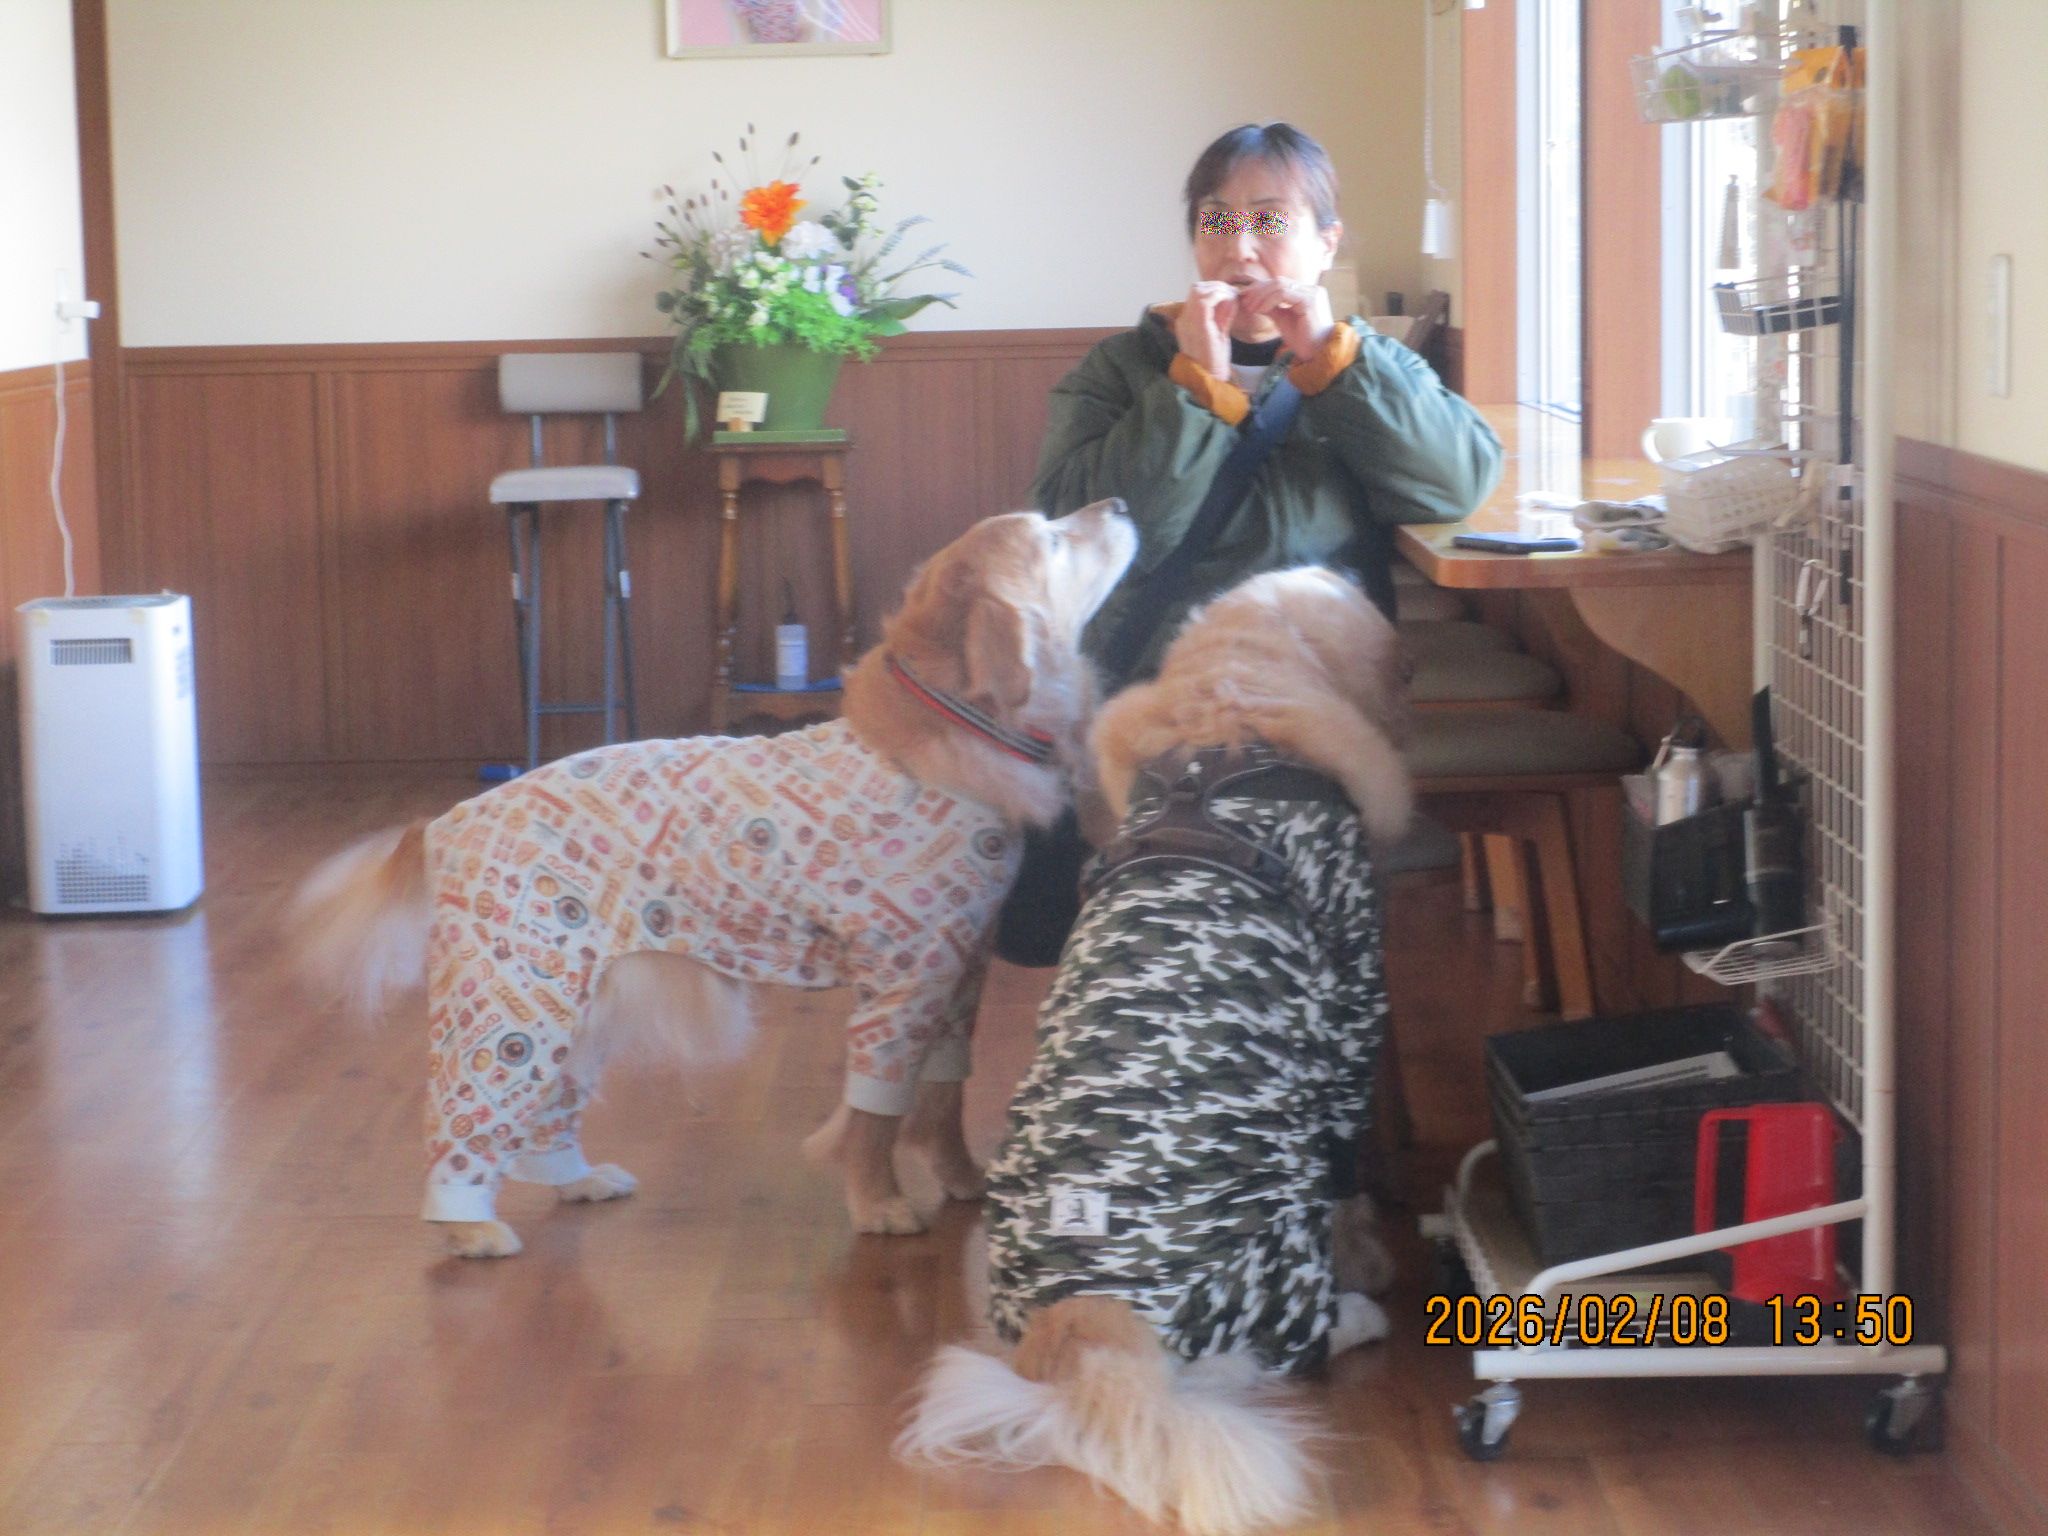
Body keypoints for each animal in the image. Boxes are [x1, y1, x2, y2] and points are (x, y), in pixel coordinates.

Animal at [291, 502, 1137, 1256]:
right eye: (1053, 538)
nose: (1123, 502)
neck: (948, 731)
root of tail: (447, 821)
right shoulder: (901, 987)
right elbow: (874, 1117)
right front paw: (880, 1205)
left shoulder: (956, 980)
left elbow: (942, 1096)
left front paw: (963, 1177)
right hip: (514, 1009)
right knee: (463, 1122)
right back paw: (467, 1225)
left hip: (578, 1008)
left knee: (545, 1122)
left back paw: (577, 1178)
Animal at [897, 566, 1410, 1536]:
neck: (1229, 723)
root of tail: (1089, 1321)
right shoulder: (1355, 999)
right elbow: (1352, 1156)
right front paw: (1371, 1240)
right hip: (1276, 1224)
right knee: (1298, 1335)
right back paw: (1363, 1309)